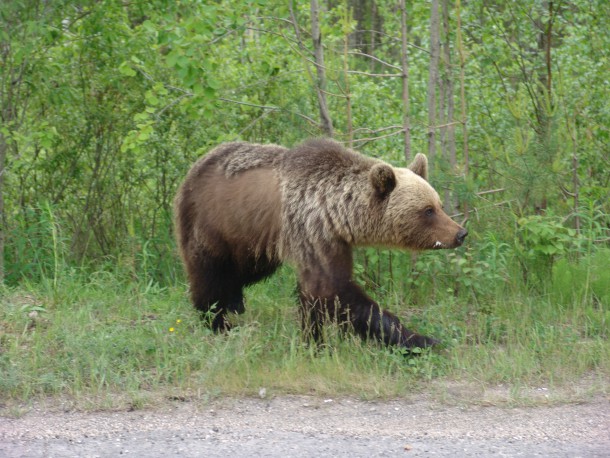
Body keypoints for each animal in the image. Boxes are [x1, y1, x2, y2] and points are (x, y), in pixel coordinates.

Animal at [173, 138, 468, 348]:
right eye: (427, 210)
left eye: (439, 205)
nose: (460, 233)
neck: (339, 213)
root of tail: (194, 168)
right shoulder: (313, 230)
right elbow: (333, 290)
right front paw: (421, 339)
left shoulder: (333, 239)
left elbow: (316, 296)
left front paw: (313, 338)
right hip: (212, 224)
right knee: (210, 273)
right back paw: (217, 320)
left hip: (251, 240)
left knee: (241, 272)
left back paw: (235, 303)